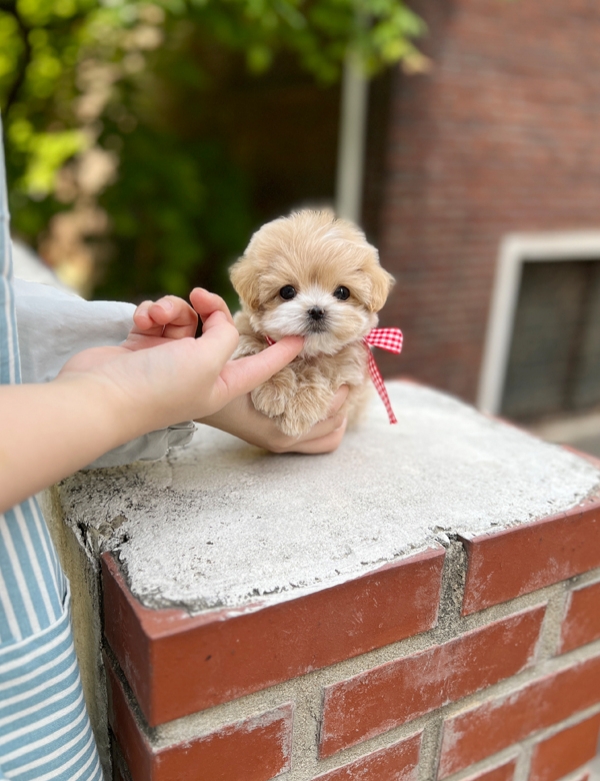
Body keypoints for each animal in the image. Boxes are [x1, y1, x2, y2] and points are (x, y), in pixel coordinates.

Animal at [229, 207, 394, 436]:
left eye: (342, 292)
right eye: (287, 292)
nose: (316, 311)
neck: (309, 352)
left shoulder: (350, 373)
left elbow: (325, 374)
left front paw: (301, 407)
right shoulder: (244, 334)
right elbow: (255, 349)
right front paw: (273, 387)